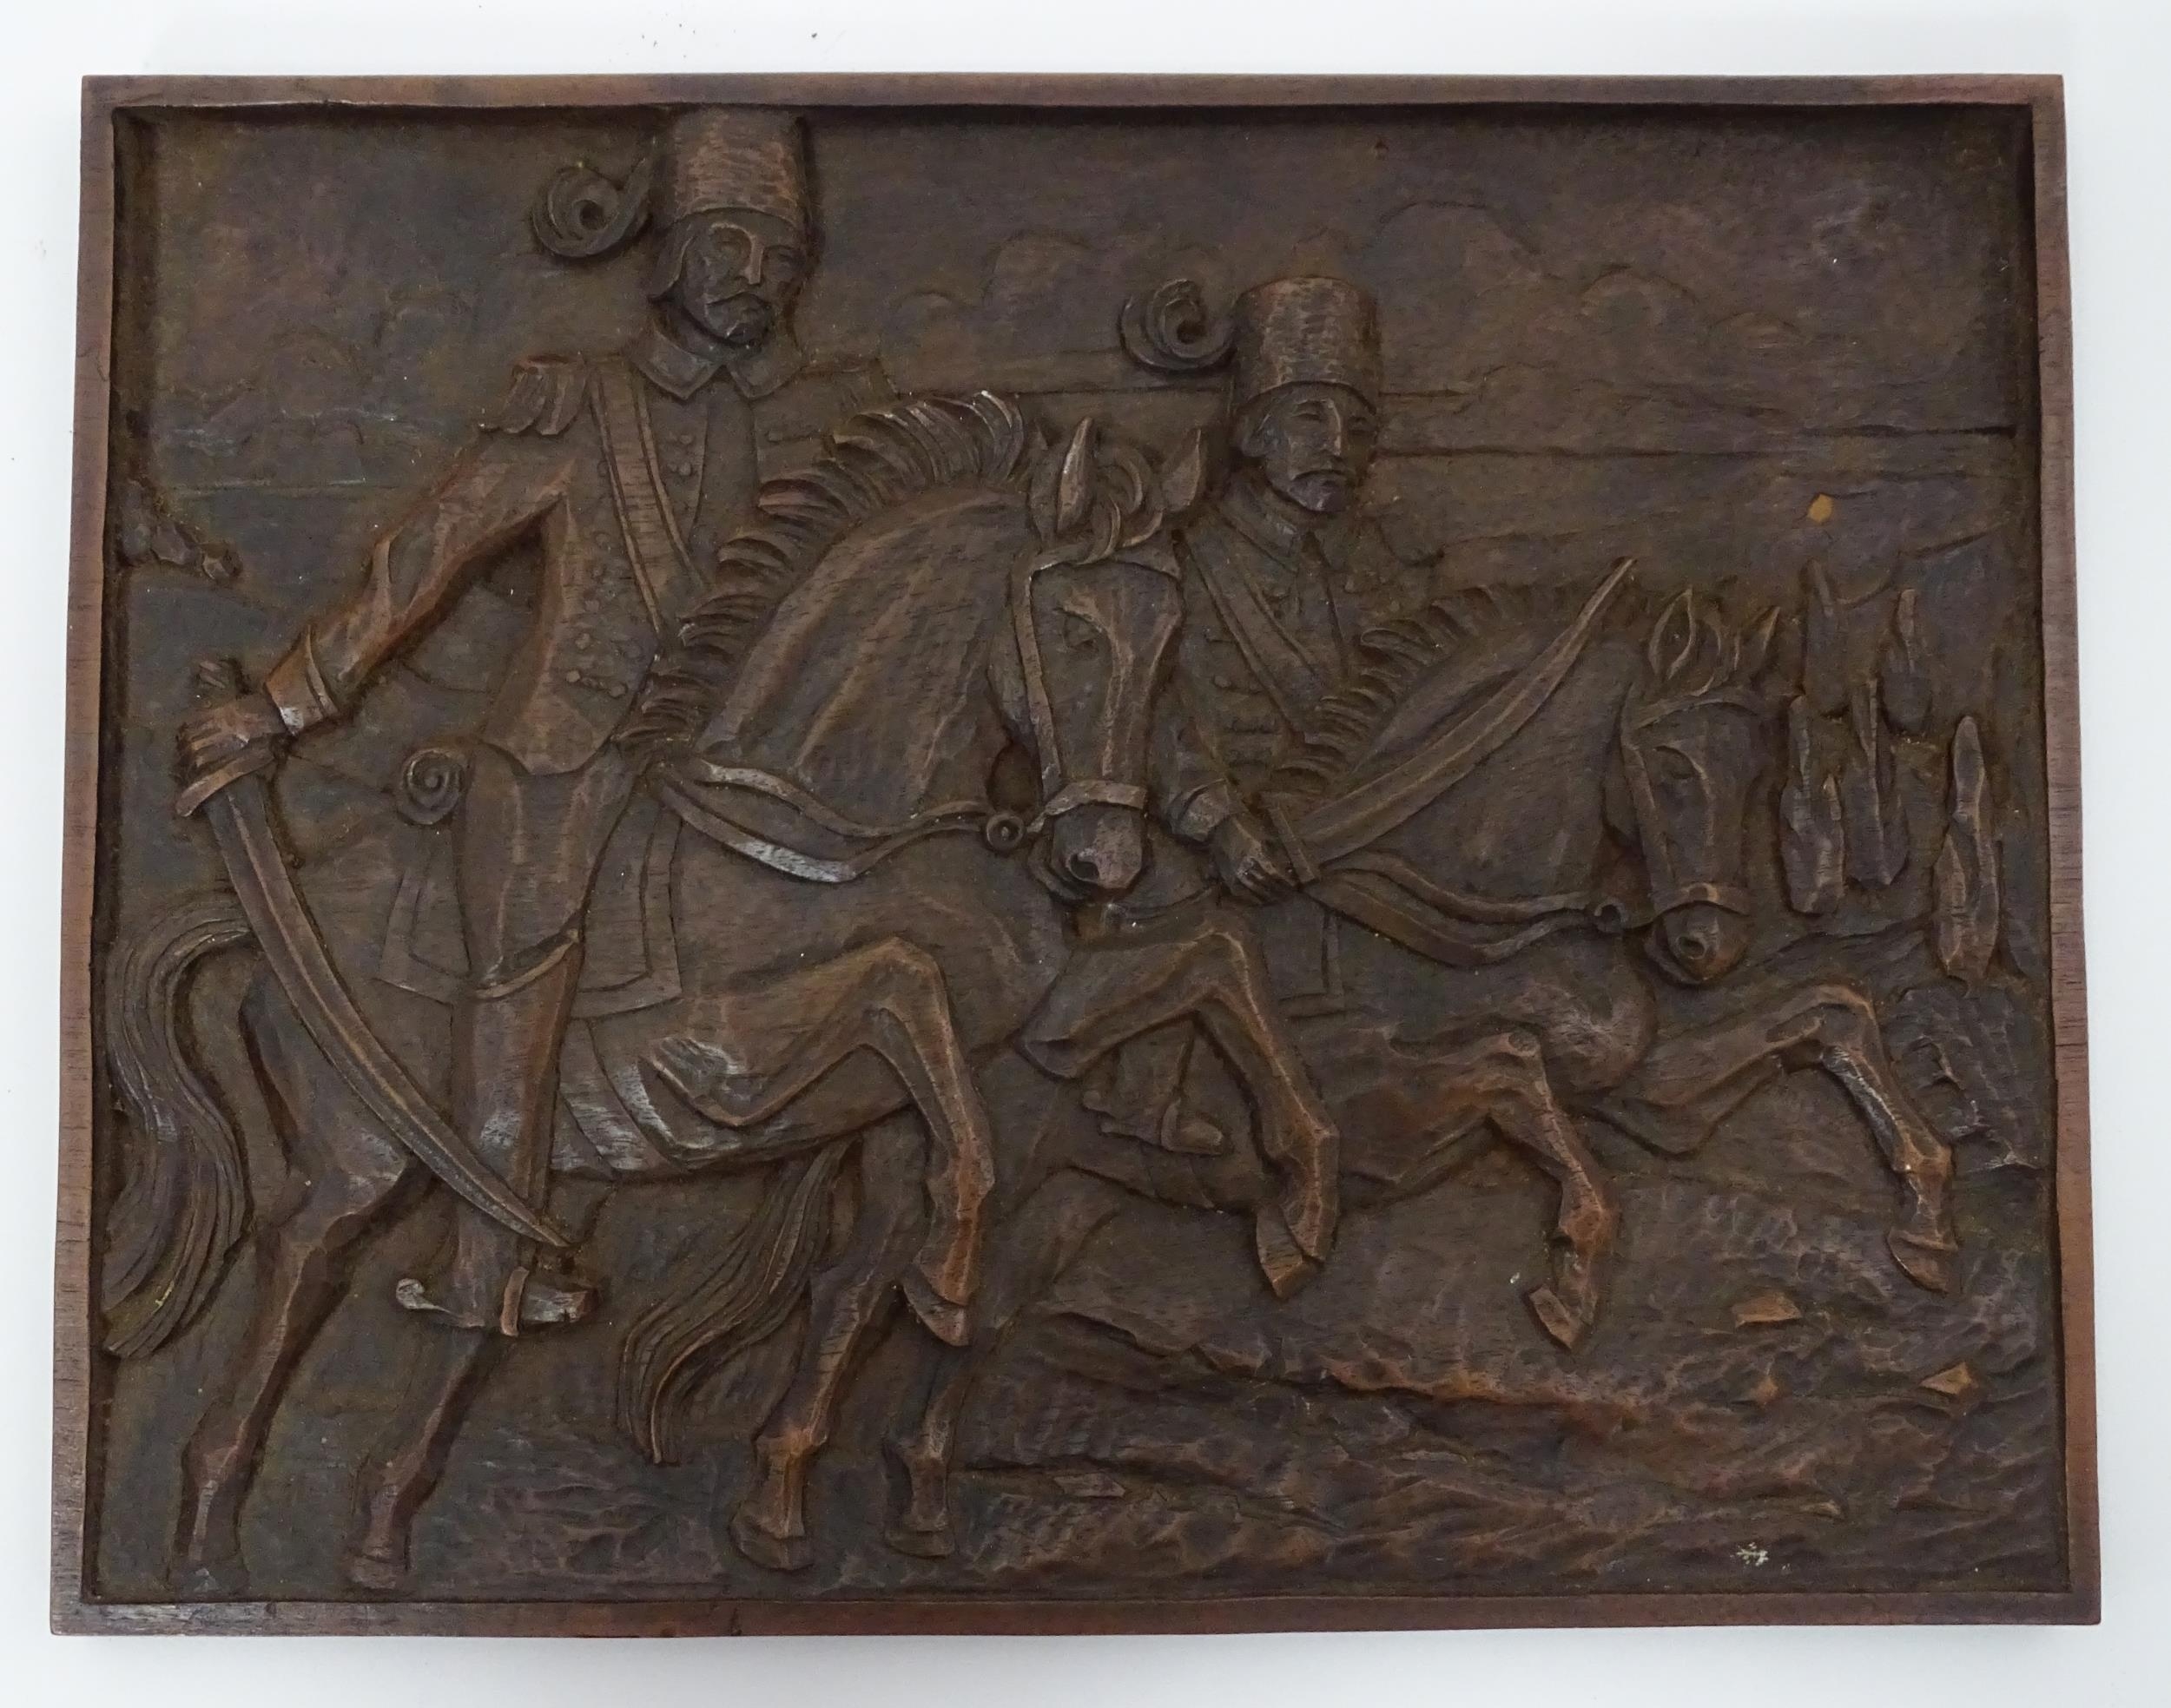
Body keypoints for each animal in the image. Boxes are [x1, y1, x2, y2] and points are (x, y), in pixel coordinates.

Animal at [101, 393, 1338, 1593]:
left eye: (1170, 640)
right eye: (1075, 632)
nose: (1102, 861)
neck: (832, 829)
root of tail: (280, 914)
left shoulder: (1030, 1027)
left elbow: (1217, 960)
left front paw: (1300, 1214)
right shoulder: (719, 1059)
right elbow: (904, 993)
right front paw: (946, 1274)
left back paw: (363, 1525)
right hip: (366, 1141)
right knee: (312, 1265)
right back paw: (216, 1536)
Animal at [862, 570, 1963, 1563]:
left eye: (1757, 766)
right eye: (1675, 767)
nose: (1707, 945)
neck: (1455, 918)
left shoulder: (1640, 1091)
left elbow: (1829, 1013)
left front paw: (1926, 1216)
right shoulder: (1391, 1106)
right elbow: (1514, 1070)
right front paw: (1565, 1279)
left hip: (1063, 1205)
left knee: (958, 1327)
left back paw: (919, 1498)